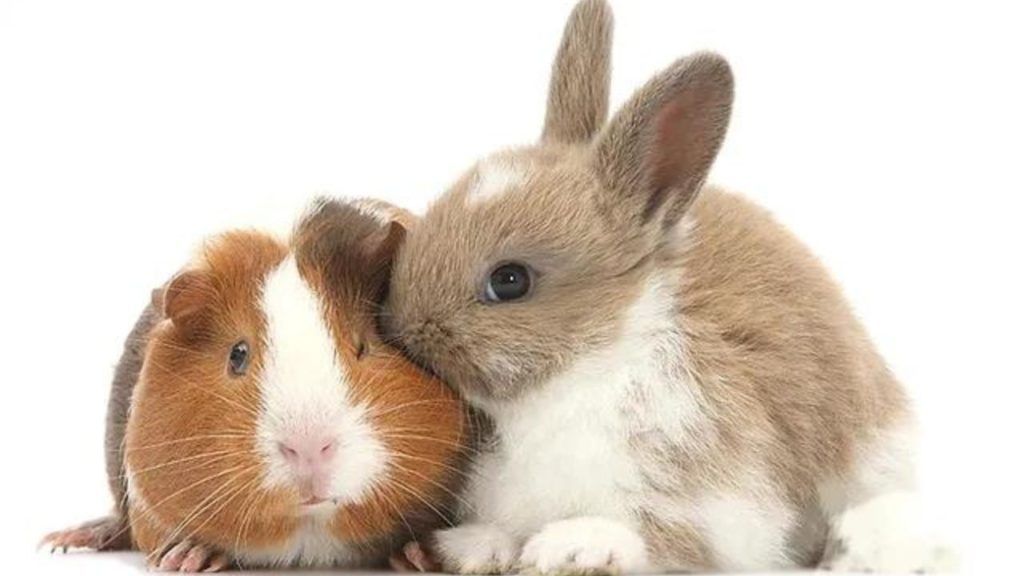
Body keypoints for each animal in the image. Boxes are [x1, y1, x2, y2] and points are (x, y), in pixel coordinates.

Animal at [383, 0, 955, 573]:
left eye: (509, 281)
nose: (401, 325)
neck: (588, 366)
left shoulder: (711, 500)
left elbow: (654, 535)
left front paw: (573, 546)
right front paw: (472, 547)